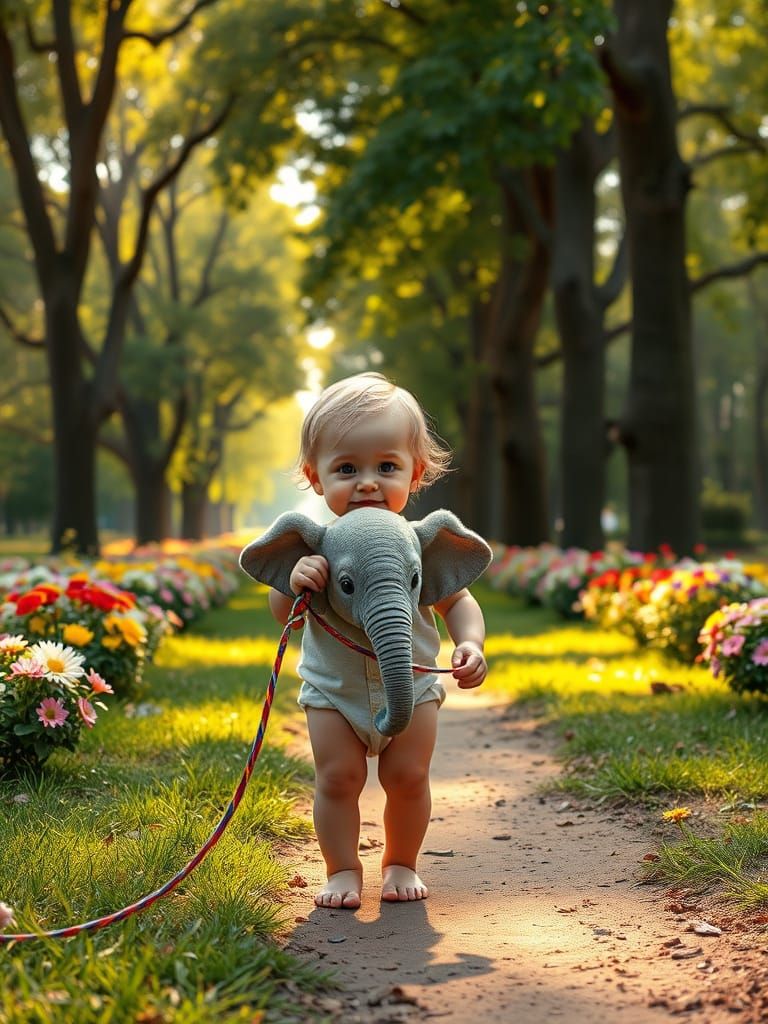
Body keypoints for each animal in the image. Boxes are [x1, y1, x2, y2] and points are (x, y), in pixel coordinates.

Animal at [239, 506, 492, 739]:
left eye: (416, 580)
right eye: (346, 585)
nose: (380, 716)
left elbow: (459, 603)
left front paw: (470, 665)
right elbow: (285, 612)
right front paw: (307, 570)